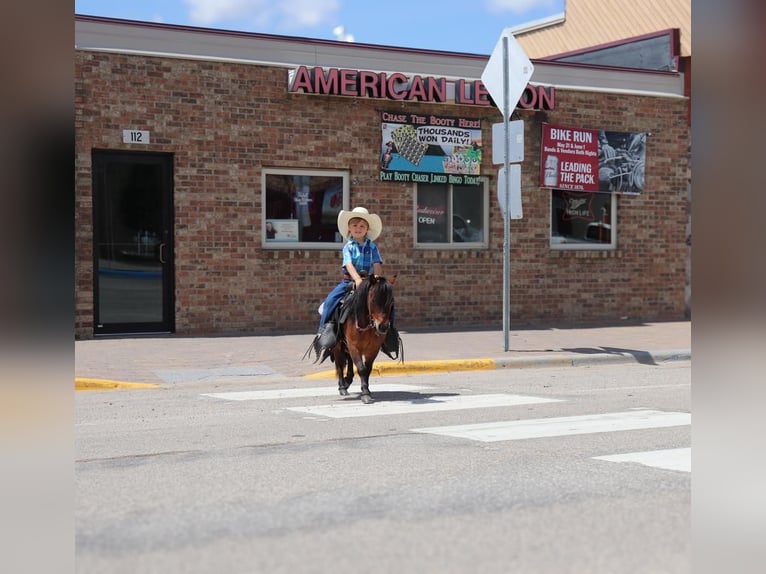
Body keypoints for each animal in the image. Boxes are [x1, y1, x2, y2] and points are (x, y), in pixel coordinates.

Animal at [334, 274, 400, 404]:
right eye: (373, 299)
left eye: (391, 301)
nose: (383, 327)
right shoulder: (354, 346)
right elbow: (361, 368)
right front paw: (365, 394)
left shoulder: (373, 349)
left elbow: (367, 369)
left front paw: (367, 390)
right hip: (338, 346)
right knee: (339, 365)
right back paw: (342, 387)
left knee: (349, 361)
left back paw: (348, 380)